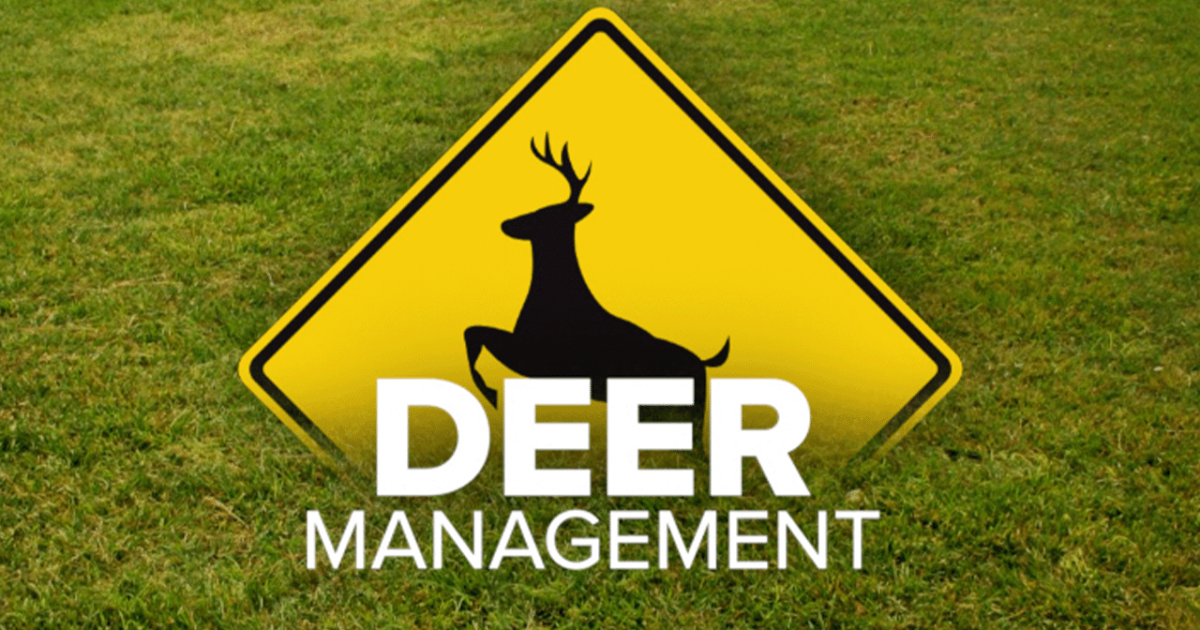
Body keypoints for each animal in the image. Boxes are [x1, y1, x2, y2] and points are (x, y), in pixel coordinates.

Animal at [464, 135, 730, 452]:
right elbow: (474, 331)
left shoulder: (534, 356)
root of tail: (704, 362)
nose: (505, 223)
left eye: (541, 212)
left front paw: (490, 393)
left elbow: (474, 332)